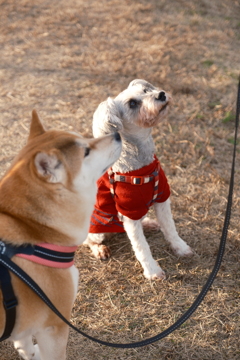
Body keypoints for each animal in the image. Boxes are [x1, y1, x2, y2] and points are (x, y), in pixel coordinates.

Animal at [0, 110, 120, 360]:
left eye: (85, 139)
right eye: (86, 152)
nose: (117, 134)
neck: (31, 230)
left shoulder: (21, 323)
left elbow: (23, 340)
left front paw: (29, 353)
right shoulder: (54, 326)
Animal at [85, 80, 193, 280]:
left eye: (145, 90)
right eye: (132, 103)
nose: (161, 94)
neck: (142, 165)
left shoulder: (162, 198)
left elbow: (170, 228)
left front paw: (180, 248)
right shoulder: (129, 212)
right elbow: (141, 246)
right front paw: (153, 271)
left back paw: (149, 223)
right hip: (97, 227)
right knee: (87, 240)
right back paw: (100, 249)